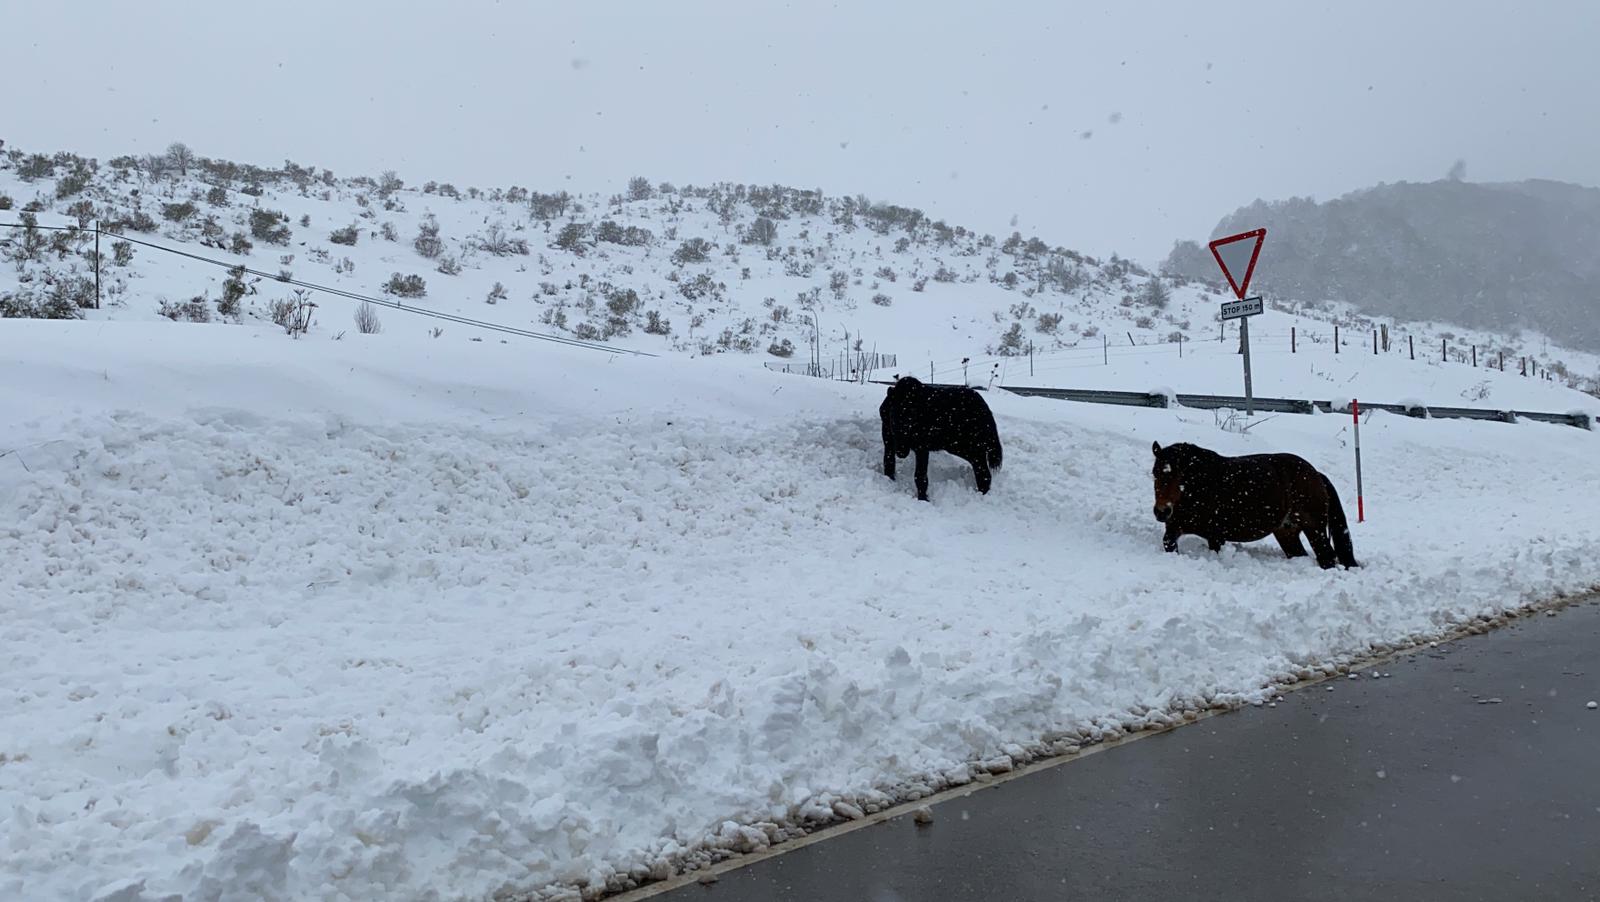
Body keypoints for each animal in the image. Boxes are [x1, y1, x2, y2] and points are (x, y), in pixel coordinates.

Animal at [1152, 441, 1363, 569]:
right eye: (1155, 473)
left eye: (1179, 476)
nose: (1162, 511)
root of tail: (1316, 474)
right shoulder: (1175, 527)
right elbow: (1169, 542)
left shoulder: (1216, 535)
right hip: (1287, 532)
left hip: (1314, 528)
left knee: (1327, 557)